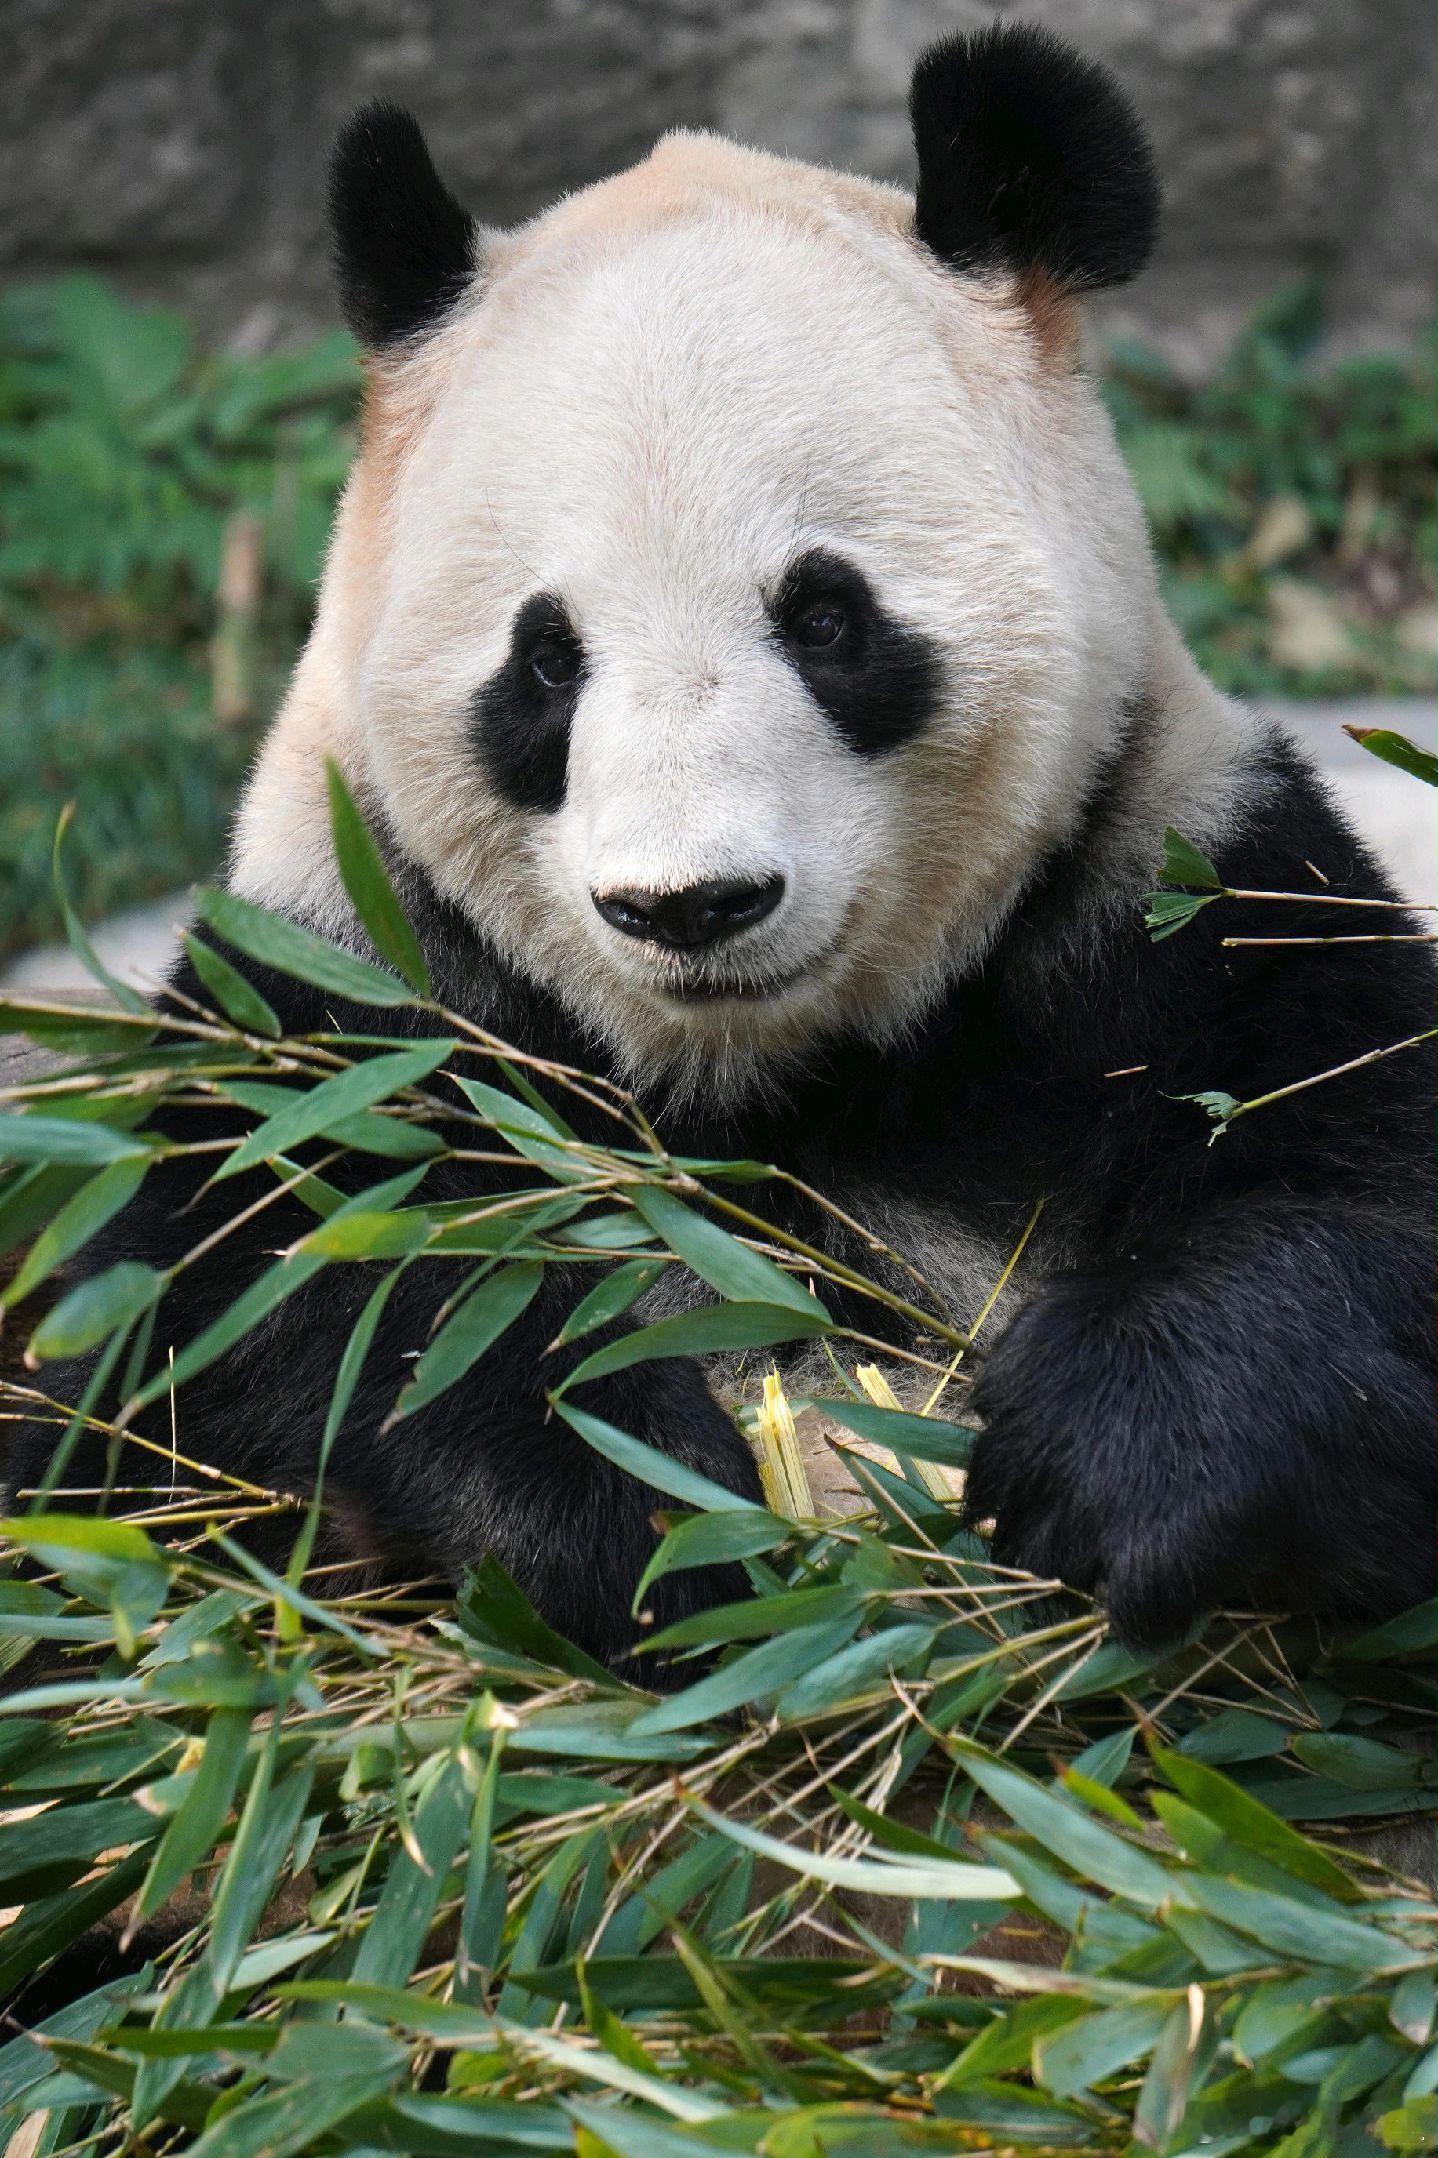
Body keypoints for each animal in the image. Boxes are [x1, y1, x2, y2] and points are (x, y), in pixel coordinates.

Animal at [8, 25, 1425, 1657]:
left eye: (824, 618)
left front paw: (1106, 1457)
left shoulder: (1170, 894)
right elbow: (226, 1325)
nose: (688, 905)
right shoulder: (340, 994)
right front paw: (632, 1509)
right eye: (544, 660)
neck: (751, 1081)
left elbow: (1358, 1178)